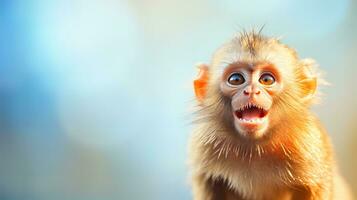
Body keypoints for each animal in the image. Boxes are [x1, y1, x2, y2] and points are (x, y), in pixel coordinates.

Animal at [188, 30, 352, 200]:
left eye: (266, 79)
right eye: (236, 79)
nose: (252, 91)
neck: (255, 148)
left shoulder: (309, 145)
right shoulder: (204, 146)